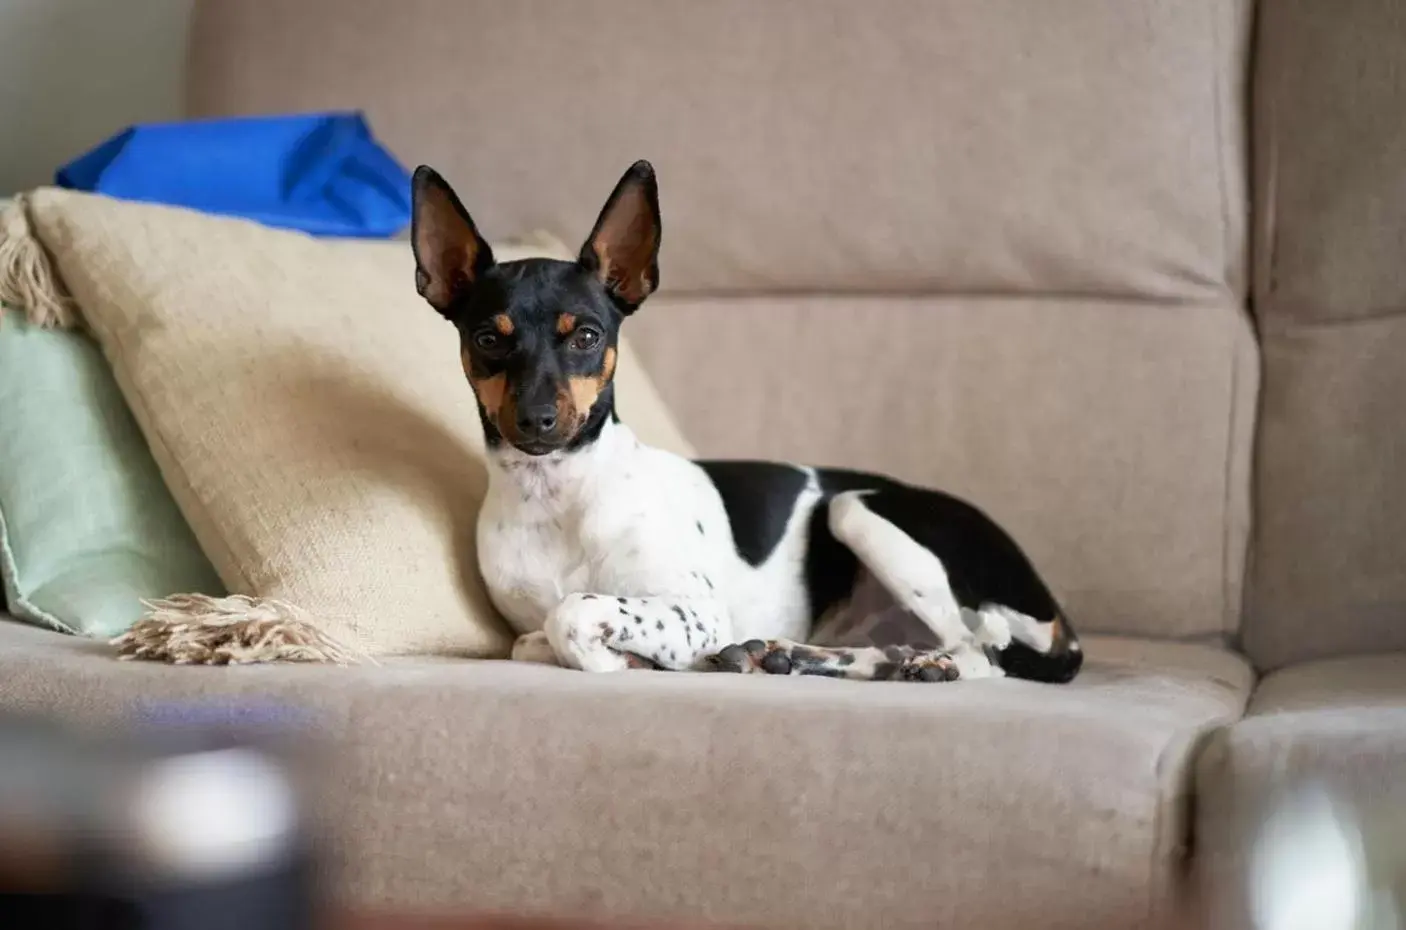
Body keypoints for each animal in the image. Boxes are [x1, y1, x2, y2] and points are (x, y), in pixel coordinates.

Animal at [410, 159, 1079, 680]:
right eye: (487, 340)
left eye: (588, 337)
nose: (537, 419)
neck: (556, 497)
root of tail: (1057, 614)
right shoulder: (535, 624)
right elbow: (532, 639)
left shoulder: (698, 611)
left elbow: (570, 614)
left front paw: (627, 656)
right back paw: (797, 656)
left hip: (857, 510)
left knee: (976, 655)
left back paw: (917, 665)